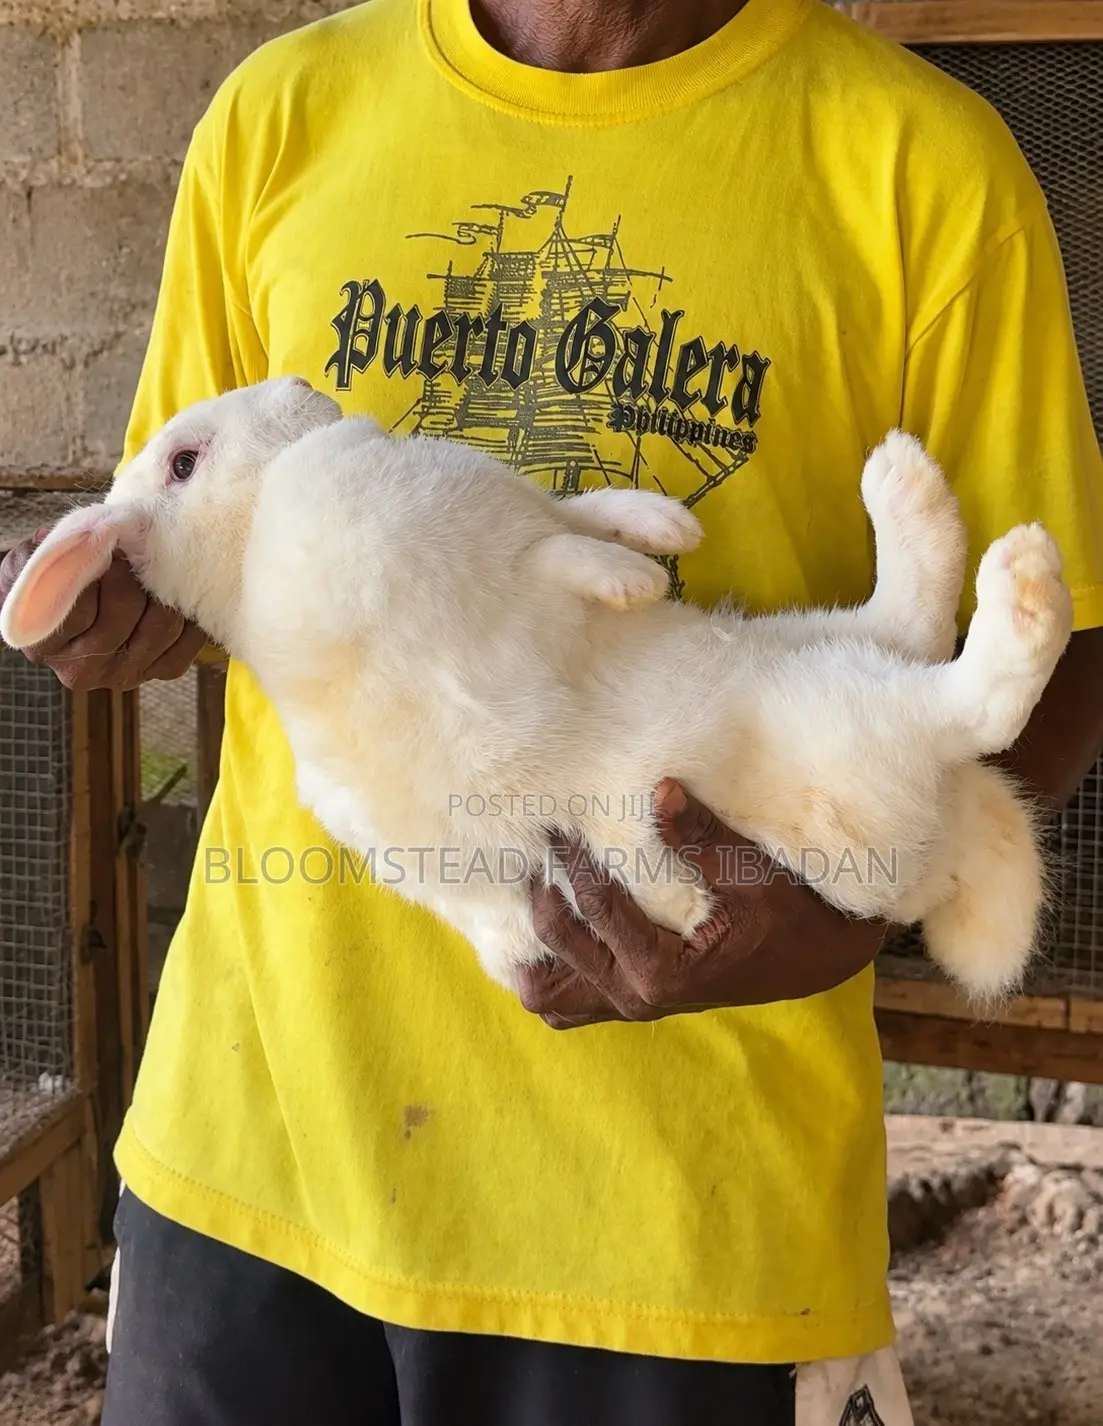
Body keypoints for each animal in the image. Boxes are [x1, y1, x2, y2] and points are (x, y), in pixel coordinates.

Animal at [0, 376, 1075, 1003]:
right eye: (187, 461)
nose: (303, 384)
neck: (257, 524)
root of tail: (946, 847)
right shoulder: (462, 558)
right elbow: (555, 554)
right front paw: (631, 581)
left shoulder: (507, 517)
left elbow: (576, 509)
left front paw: (661, 534)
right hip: (846, 723)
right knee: (967, 694)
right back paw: (1018, 574)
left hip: (812, 650)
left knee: (910, 620)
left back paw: (904, 484)